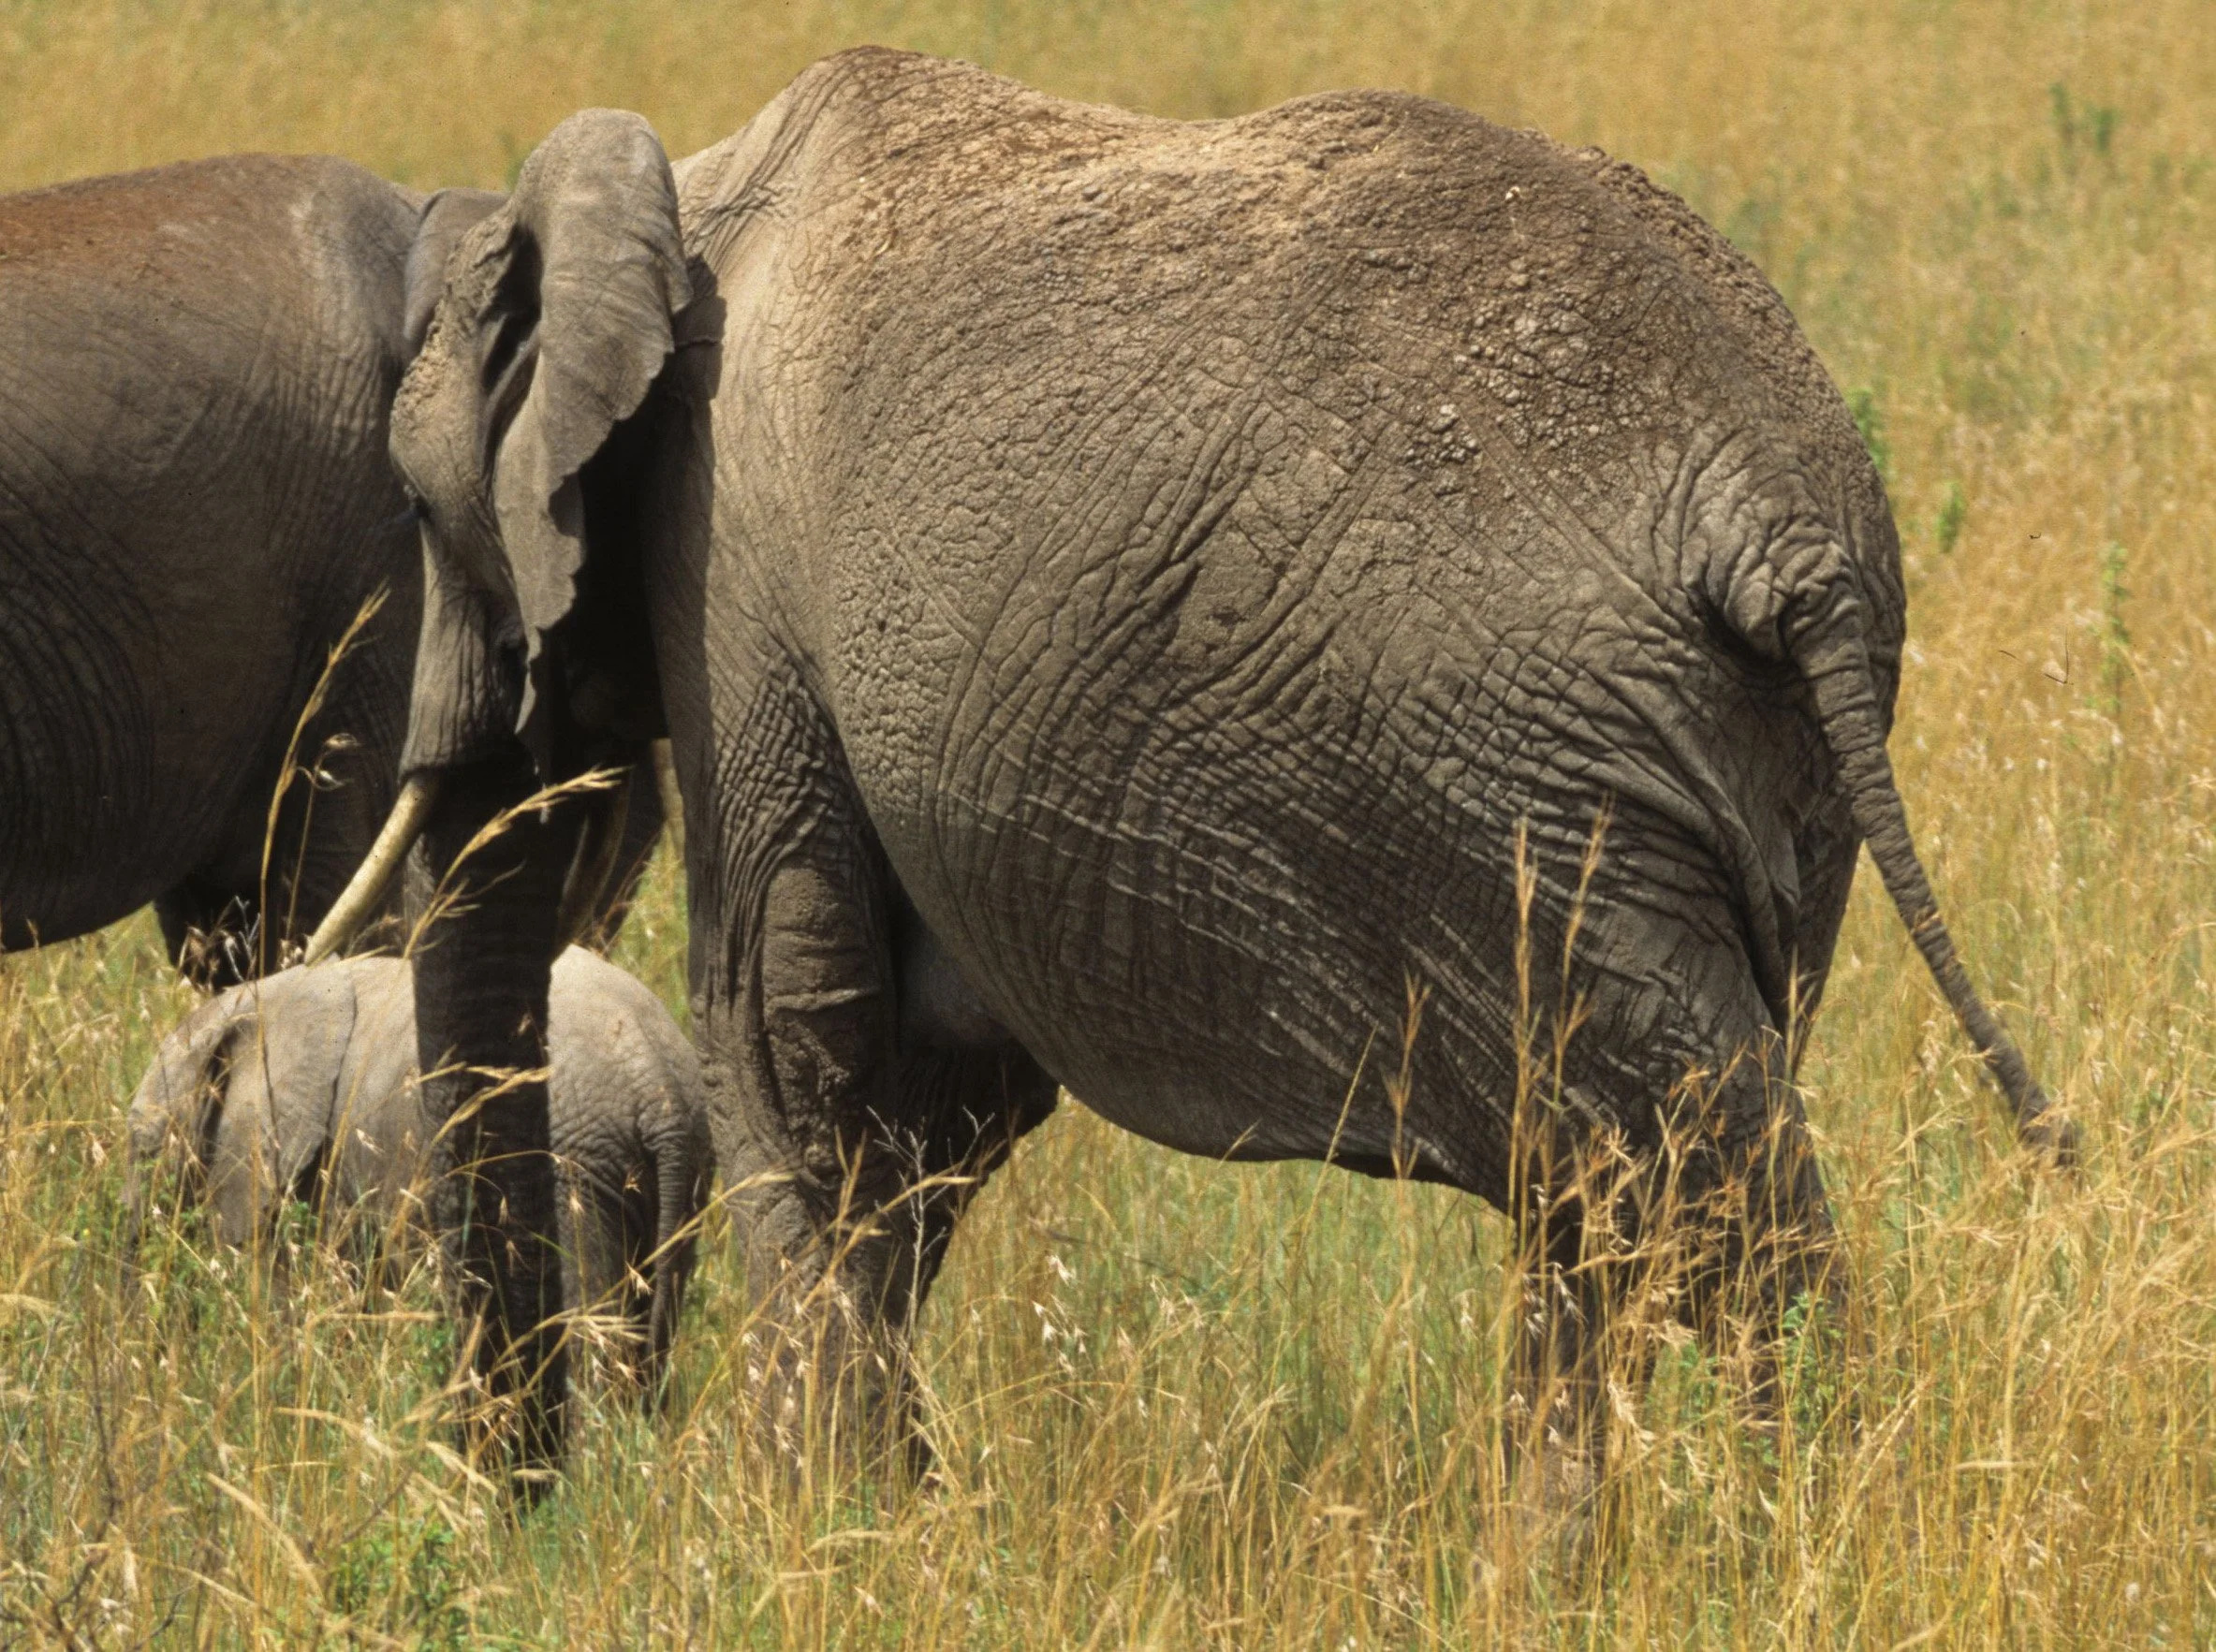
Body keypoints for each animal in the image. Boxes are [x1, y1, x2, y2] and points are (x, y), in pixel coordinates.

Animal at [320, 47, 2062, 1487]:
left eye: (416, 507)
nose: (526, 1500)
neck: (677, 183)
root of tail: (1781, 520)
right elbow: (936, 1088)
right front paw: (897, 1512)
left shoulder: (730, 570)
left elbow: (794, 1028)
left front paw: (802, 1533)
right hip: (1735, 784)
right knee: (1621, 1183)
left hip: (1534, 780)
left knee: (1691, 1181)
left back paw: (1770, 1547)